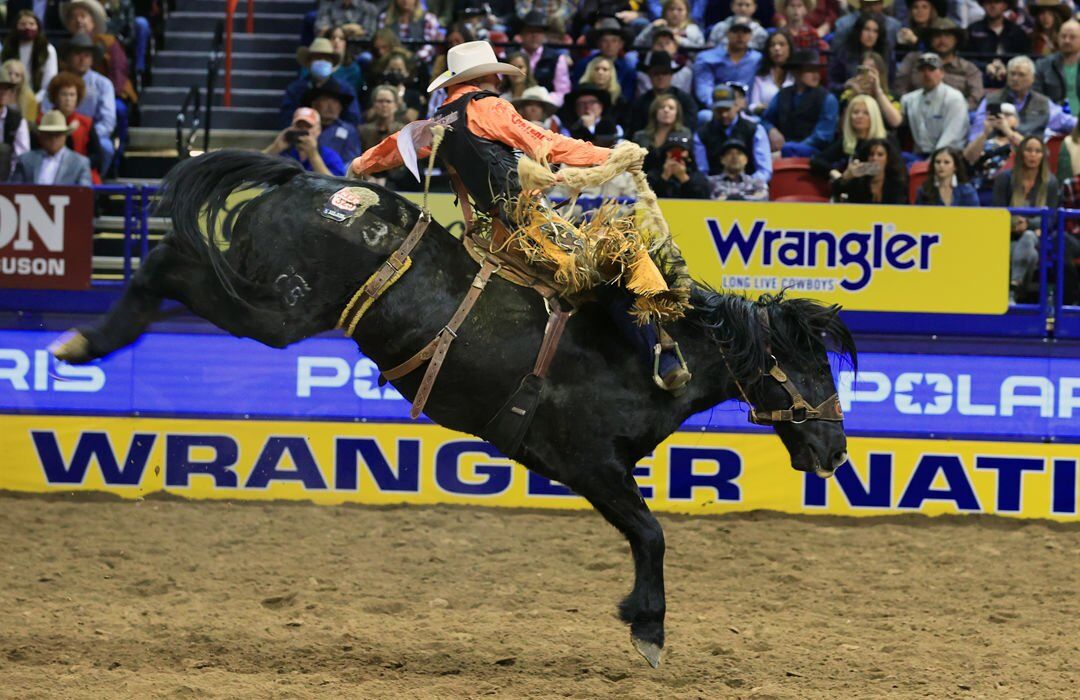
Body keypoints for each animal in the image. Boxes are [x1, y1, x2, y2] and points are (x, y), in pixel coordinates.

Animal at [52, 149, 859, 665]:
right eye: (810, 365)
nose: (836, 452)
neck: (649, 352)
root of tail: (305, 177)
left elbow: (648, 534)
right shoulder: (589, 464)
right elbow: (652, 533)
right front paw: (648, 629)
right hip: (276, 307)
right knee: (165, 265)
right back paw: (84, 340)